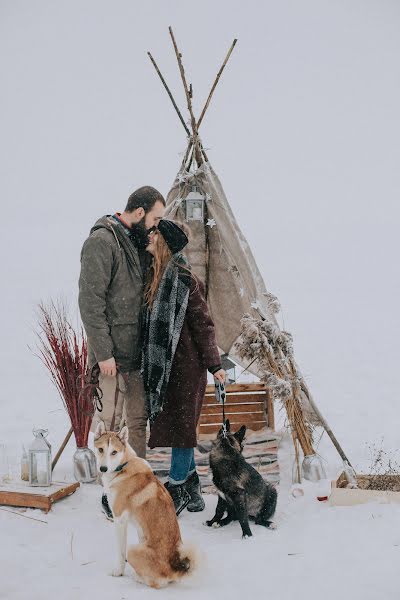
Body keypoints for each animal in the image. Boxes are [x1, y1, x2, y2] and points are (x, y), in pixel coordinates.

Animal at [92, 424, 198, 588]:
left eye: (114, 452)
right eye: (101, 449)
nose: (103, 468)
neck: (123, 466)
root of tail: (174, 570)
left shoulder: (119, 520)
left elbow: (120, 552)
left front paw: (118, 572)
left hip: (132, 550)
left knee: (156, 583)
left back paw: (138, 577)